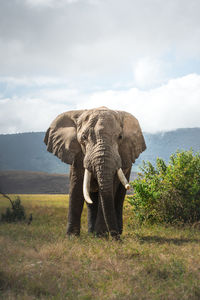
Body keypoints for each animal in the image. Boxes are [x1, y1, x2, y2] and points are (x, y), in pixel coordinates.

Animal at [44, 107, 145, 239]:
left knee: (119, 196)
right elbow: (76, 186)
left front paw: (101, 236)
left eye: (120, 137)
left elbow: (110, 188)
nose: (117, 239)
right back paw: (92, 233)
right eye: (83, 137)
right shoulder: (78, 156)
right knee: (91, 199)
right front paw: (72, 237)